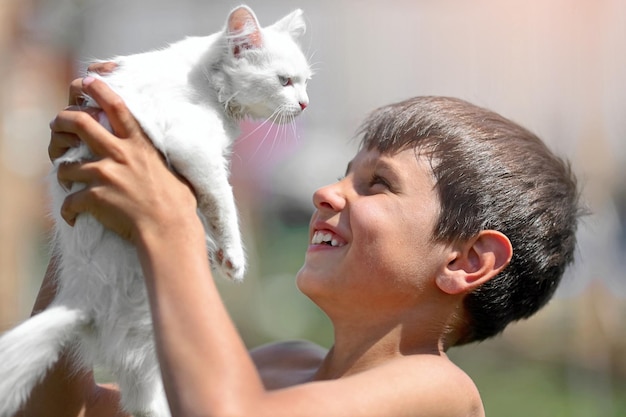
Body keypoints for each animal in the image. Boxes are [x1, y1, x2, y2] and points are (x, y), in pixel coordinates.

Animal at [0, 5, 310, 416]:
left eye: (305, 82)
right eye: (284, 81)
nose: (306, 104)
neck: (205, 80)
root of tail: (81, 300)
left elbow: (208, 206)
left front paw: (219, 253)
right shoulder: (192, 146)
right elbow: (222, 203)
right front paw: (233, 258)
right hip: (149, 334)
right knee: (148, 398)